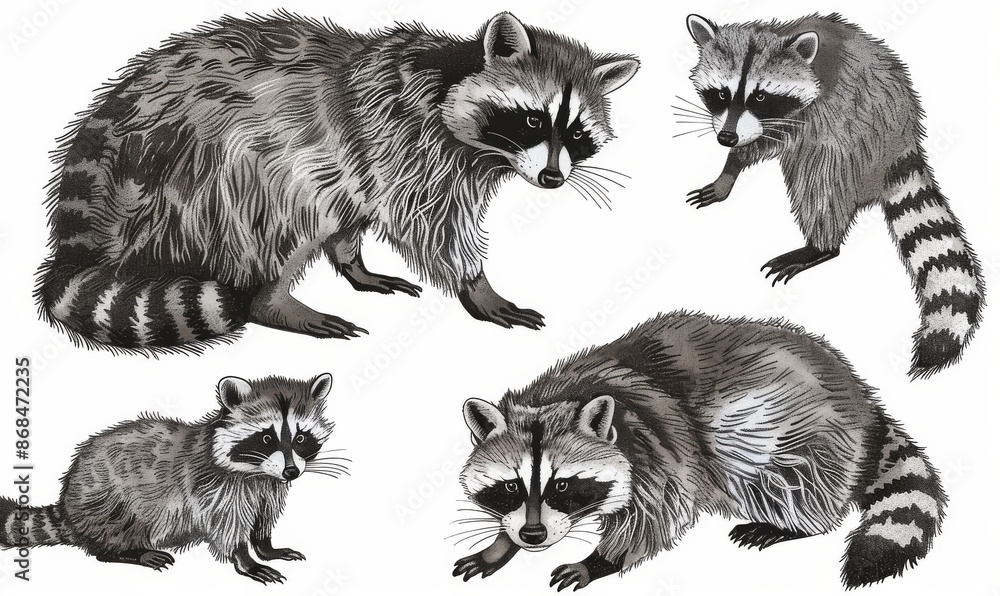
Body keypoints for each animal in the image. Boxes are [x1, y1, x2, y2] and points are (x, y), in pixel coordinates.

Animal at [0, 373, 341, 584]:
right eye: (267, 438)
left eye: (300, 437)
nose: (291, 472)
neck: (257, 472)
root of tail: (68, 505)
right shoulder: (216, 490)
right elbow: (227, 527)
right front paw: (246, 559)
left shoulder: (266, 488)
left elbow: (262, 518)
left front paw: (266, 546)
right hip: (109, 502)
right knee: (112, 537)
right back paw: (129, 552)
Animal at [35, 11, 638, 352]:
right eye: (533, 120)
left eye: (577, 133)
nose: (553, 177)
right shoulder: (401, 140)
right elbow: (427, 222)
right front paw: (477, 284)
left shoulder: (370, 158)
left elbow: (361, 207)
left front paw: (354, 260)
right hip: (204, 179)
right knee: (278, 207)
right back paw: (273, 300)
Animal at [455, 312, 945, 590]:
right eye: (510, 486)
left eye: (562, 485)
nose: (534, 536)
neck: (563, 395)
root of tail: (862, 397)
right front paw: (500, 545)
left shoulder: (653, 447)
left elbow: (656, 514)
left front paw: (598, 561)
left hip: (805, 436)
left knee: (795, 483)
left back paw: (792, 524)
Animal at [683, 13, 984, 378]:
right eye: (721, 93)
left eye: (760, 97)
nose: (727, 138)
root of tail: (902, 136)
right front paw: (728, 170)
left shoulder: (810, 113)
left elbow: (772, 141)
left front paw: (735, 160)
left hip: (855, 140)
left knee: (820, 183)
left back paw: (820, 246)